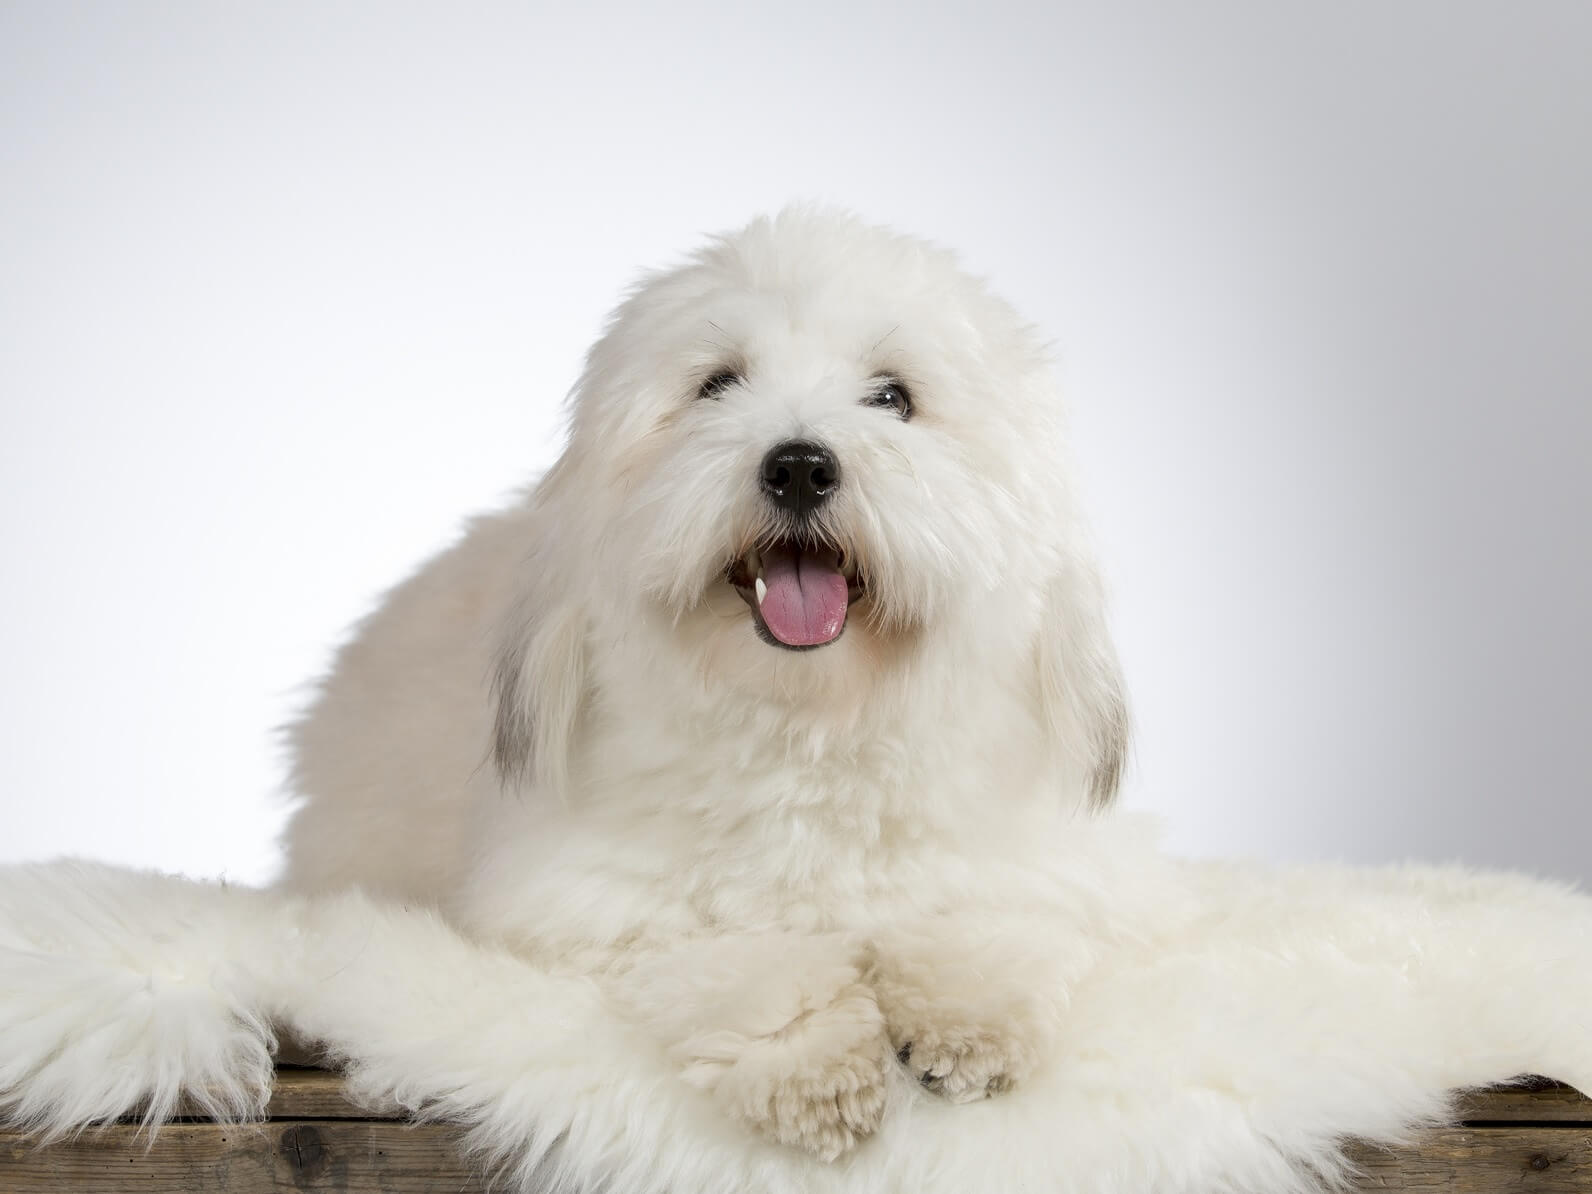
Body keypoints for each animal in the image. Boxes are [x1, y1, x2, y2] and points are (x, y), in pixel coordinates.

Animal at [283, 205, 1133, 1158]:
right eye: (717, 384)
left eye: (893, 397)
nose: (798, 465)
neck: (809, 729)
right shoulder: (605, 901)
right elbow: (740, 964)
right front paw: (816, 1069)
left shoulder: (1023, 860)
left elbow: (983, 926)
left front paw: (969, 1025)